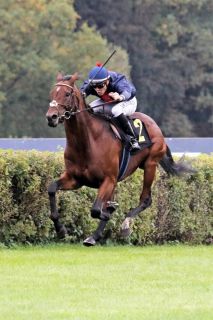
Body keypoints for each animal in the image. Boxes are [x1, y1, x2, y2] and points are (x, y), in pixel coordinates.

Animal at [45, 73, 191, 248]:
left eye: (67, 94)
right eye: (52, 93)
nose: (51, 117)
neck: (87, 142)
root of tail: (156, 126)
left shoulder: (109, 179)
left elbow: (96, 210)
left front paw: (108, 214)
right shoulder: (75, 179)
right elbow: (52, 188)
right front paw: (60, 229)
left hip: (150, 165)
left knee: (146, 199)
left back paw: (125, 225)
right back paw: (94, 236)